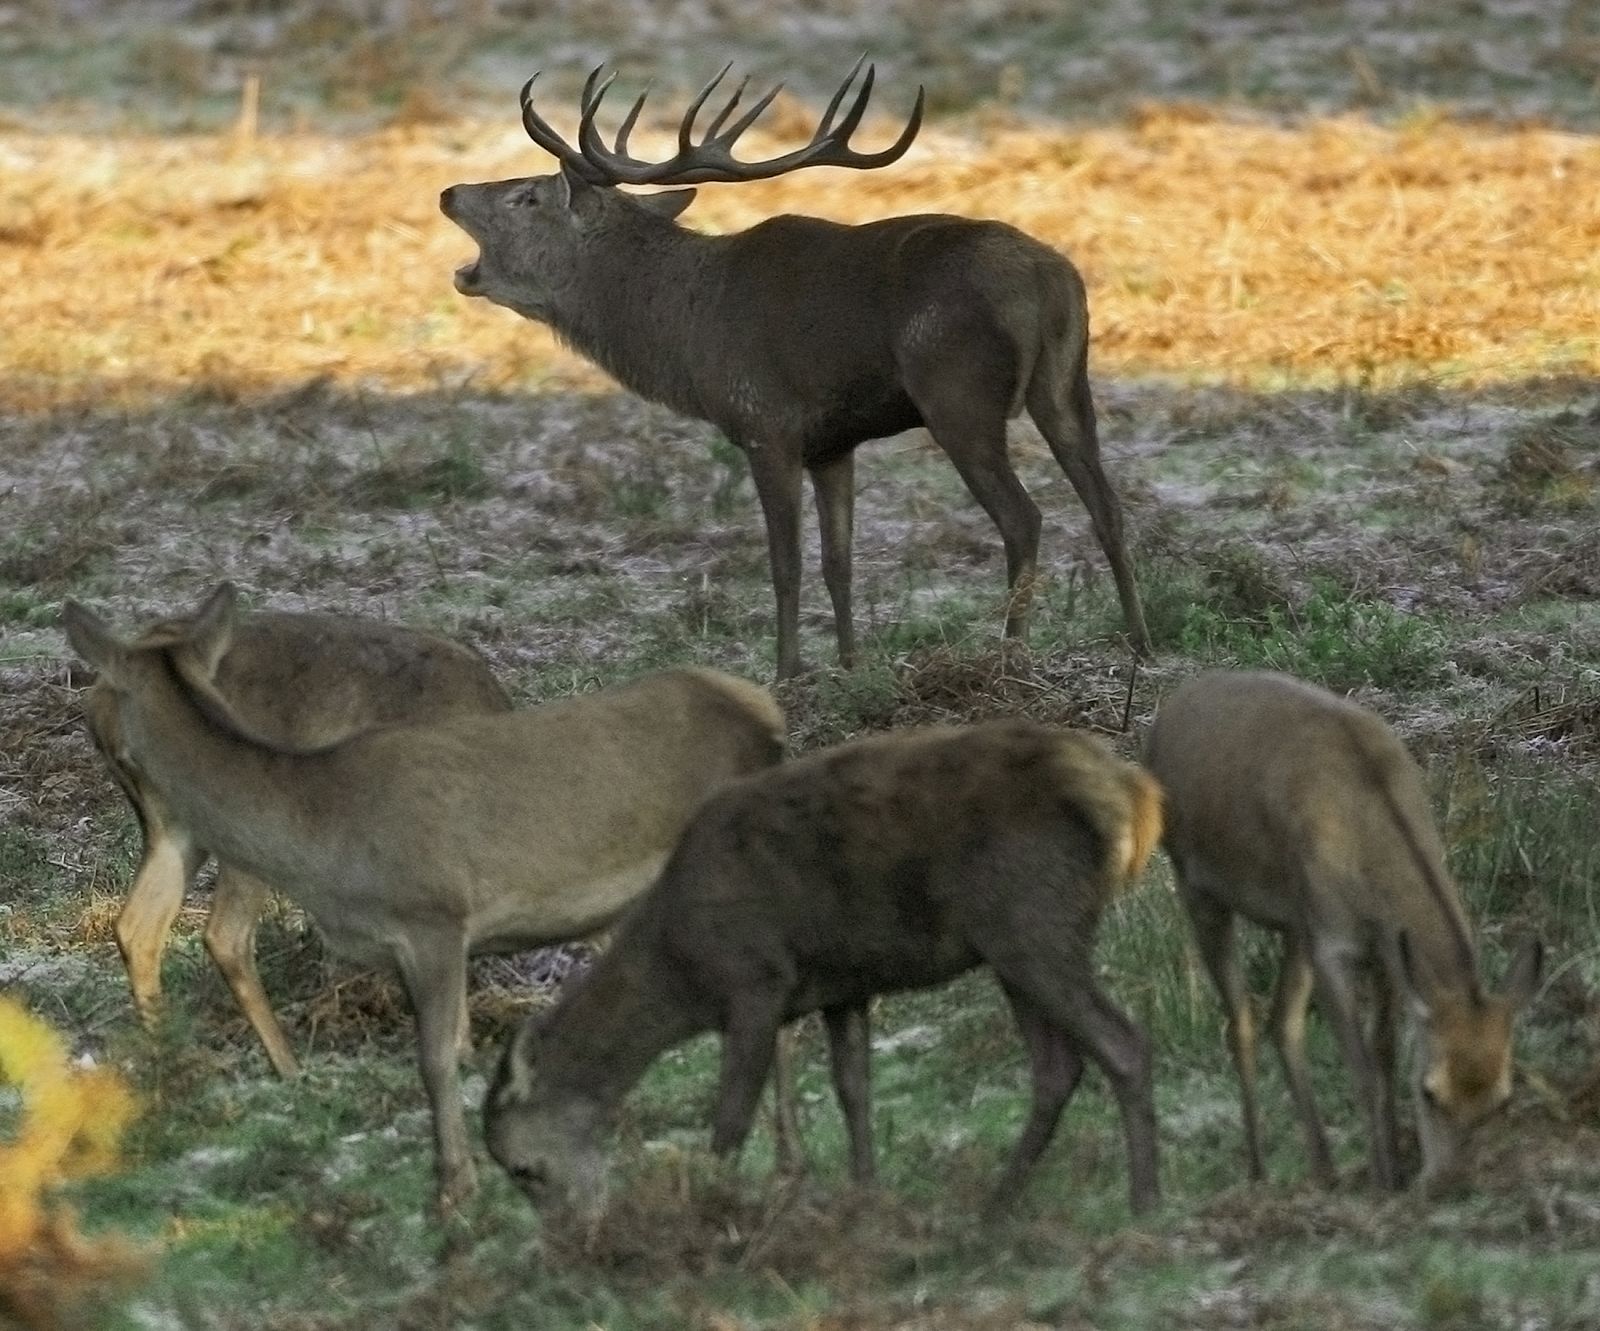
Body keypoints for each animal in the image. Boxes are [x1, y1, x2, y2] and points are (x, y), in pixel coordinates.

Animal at [441, 58, 1152, 675]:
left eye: (527, 196)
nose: (448, 192)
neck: (688, 330)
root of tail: (1050, 279)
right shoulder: (832, 444)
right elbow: (839, 561)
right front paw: (850, 663)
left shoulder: (766, 422)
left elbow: (786, 563)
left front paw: (787, 673)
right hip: (1066, 384)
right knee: (1108, 506)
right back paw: (1140, 644)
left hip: (958, 392)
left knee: (1024, 517)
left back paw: (1010, 653)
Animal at [483, 723, 1164, 1222]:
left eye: (524, 1169)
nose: (575, 1236)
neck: (683, 968)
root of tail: (1131, 792)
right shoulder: (843, 986)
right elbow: (852, 1091)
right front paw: (865, 1195)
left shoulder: (756, 980)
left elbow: (732, 1116)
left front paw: (710, 1210)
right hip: (1012, 942)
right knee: (1057, 1067)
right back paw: (997, 1204)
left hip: (1032, 918)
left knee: (1122, 1042)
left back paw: (1144, 1201)